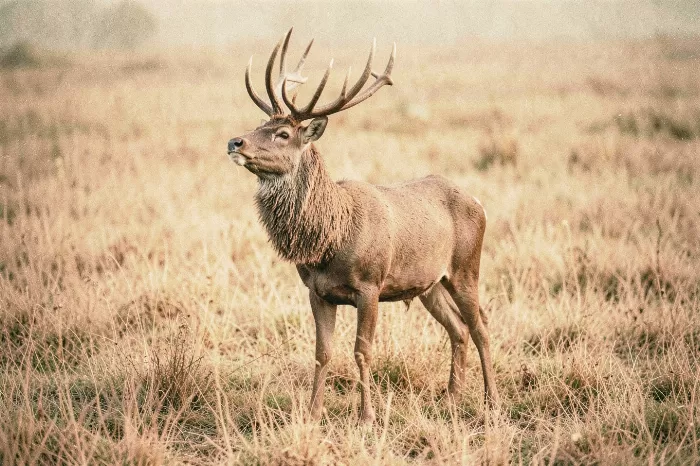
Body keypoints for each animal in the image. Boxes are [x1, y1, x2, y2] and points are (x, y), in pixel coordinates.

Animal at [227, 28, 499, 424]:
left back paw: (491, 402)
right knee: (459, 328)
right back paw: (450, 399)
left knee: (481, 325)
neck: (329, 240)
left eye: (283, 134)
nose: (235, 141)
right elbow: (323, 352)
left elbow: (362, 350)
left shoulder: (370, 285)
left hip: (466, 267)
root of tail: (478, 202)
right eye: (261, 125)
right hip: (430, 283)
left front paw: (367, 415)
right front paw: (313, 412)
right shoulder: (317, 291)